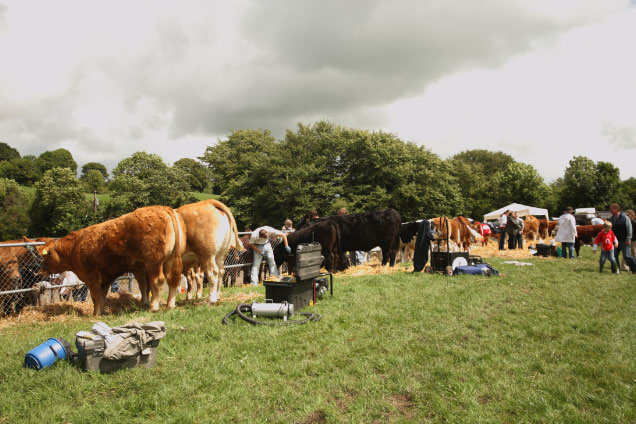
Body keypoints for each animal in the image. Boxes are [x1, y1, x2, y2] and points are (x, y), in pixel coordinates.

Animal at [27, 205, 185, 316]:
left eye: (45, 256)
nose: (41, 269)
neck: (75, 247)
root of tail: (163, 208)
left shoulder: (91, 277)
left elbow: (96, 296)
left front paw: (95, 314)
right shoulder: (106, 277)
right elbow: (102, 296)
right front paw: (101, 312)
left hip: (153, 261)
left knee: (157, 281)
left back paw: (154, 306)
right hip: (171, 259)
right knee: (173, 279)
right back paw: (170, 305)